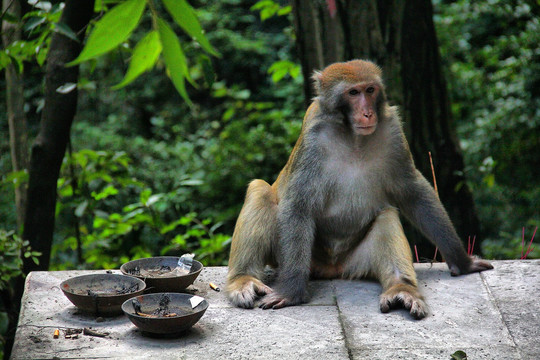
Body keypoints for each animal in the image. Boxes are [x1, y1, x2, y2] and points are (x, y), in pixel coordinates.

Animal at [225, 59, 494, 318]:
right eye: (353, 92)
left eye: (370, 90)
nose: (367, 113)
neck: (352, 137)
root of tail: (332, 269)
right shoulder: (313, 138)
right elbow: (298, 205)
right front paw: (292, 293)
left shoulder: (392, 131)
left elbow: (412, 191)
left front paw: (463, 262)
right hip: (298, 258)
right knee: (260, 190)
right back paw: (243, 279)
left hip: (356, 263)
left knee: (387, 216)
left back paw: (401, 288)